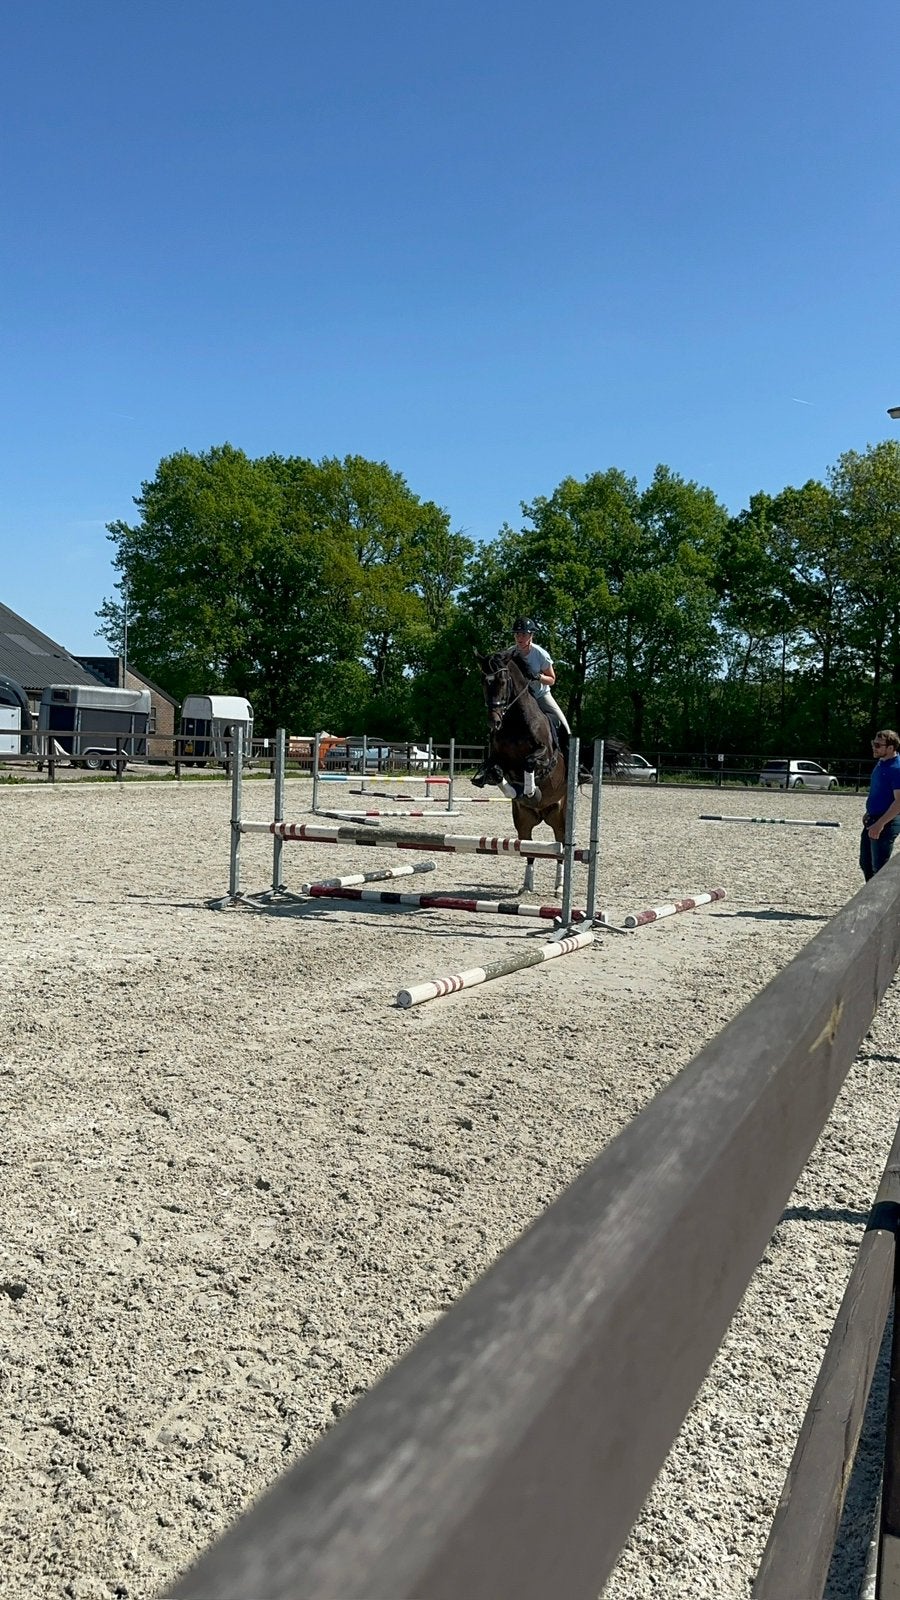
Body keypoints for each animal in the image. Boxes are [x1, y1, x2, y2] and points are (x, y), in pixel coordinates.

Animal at [475, 649, 629, 896]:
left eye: (503, 681)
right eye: (483, 682)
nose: (493, 722)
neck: (514, 721)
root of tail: (543, 814)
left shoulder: (545, 755)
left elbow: (529, 763)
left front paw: (531, 791)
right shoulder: (498, 759)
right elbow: (496, 772)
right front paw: (515, 790)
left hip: (561, 818)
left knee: (561, 849)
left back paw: (559, 887)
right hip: (524, 821)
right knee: (528, 850)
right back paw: (527, 885)